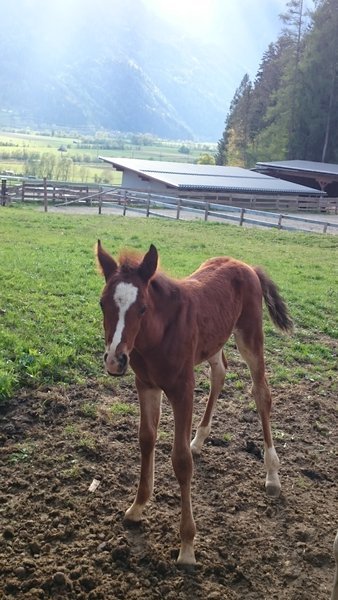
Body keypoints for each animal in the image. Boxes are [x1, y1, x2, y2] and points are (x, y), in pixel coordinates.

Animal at [96, 241, 292, 564]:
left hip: (250, 336)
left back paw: (272, 475)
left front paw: (187, 545)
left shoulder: (182, 390)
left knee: (261, 393)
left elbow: (180, 461)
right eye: (102, 304)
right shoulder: (146, 385)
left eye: (142, 307)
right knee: (220, 373)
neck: (157, 335)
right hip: (214, 342)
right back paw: (199, 440)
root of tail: (247, 266)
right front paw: (137, 507)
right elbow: (146, 439)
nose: (115, 360)